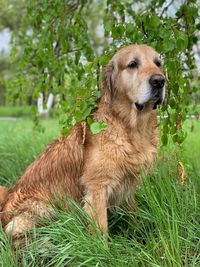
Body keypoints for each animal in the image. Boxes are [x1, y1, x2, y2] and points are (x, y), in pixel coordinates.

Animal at [0, 44, 166, 241]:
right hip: (44, 209)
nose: (159, 81)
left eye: (158, 63)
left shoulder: (128, 187)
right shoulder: (97, 188)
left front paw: (137, 237)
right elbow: (101, 231)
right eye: (133, 64)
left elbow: (133, 215)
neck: (130, 128)